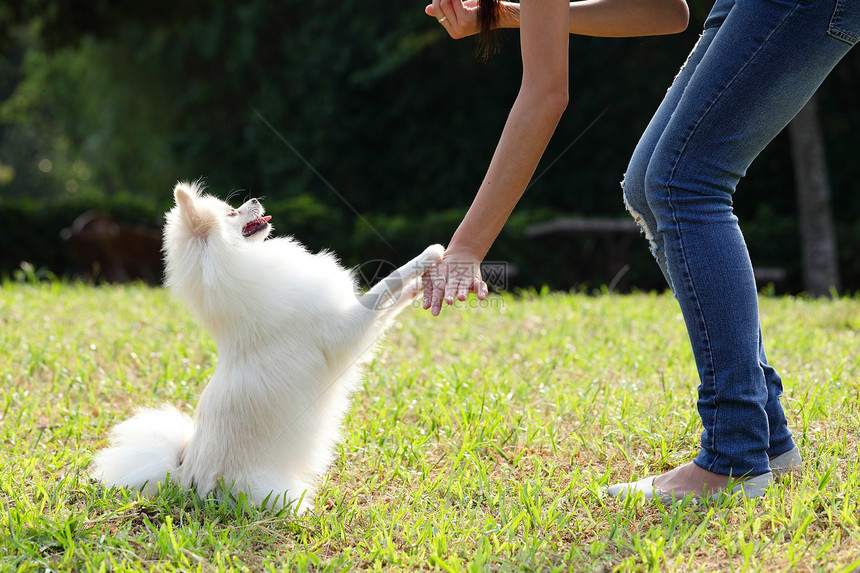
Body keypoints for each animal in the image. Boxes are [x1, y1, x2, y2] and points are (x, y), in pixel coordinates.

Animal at [91, 182, 444, 510]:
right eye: (231, 213)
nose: (254, 198)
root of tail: (182, 474)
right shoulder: (346, 329)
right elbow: (386, 285)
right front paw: (428, 256)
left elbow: (392, 300)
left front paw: (423, 286)